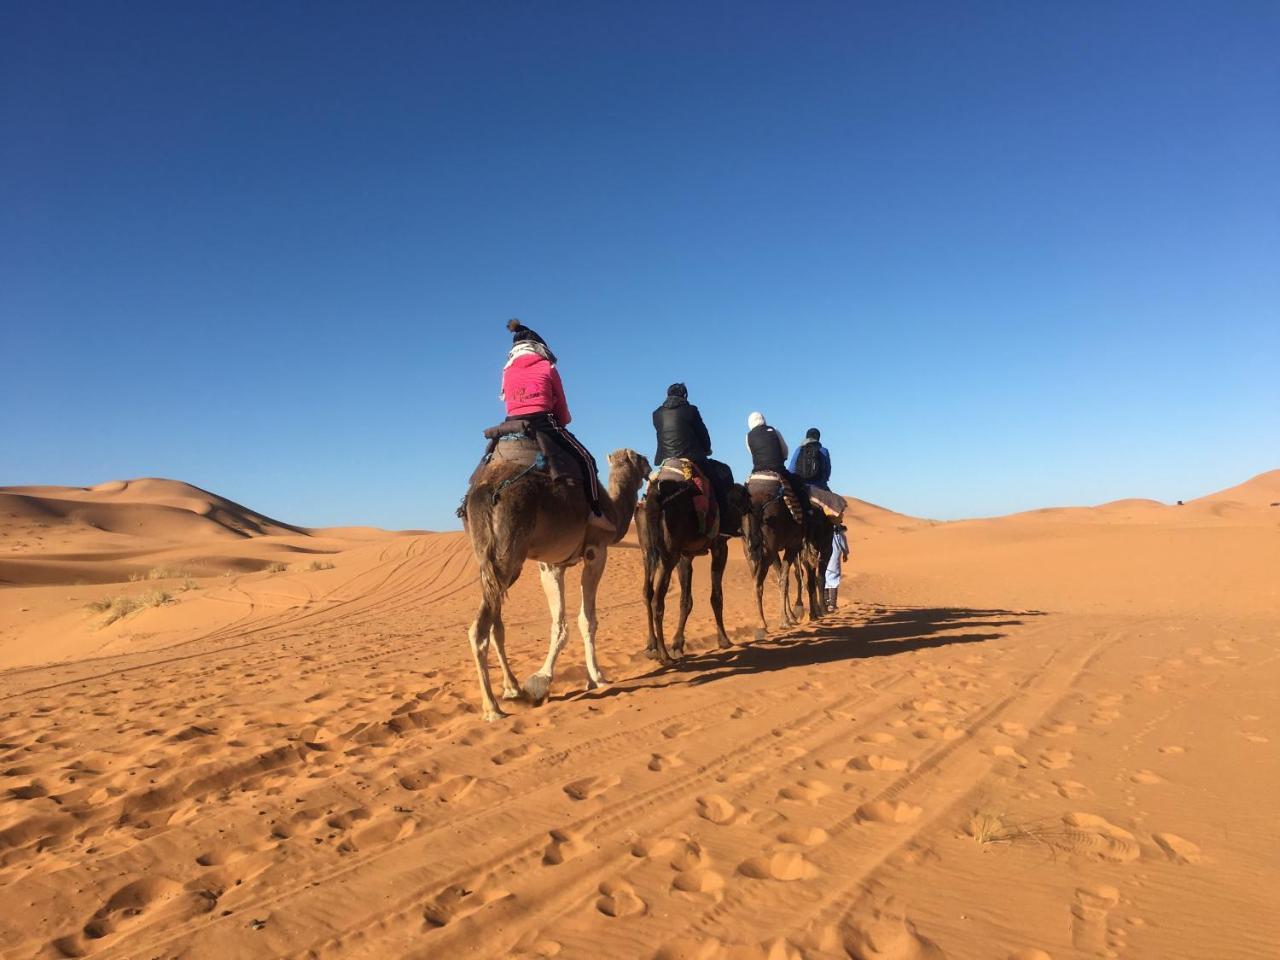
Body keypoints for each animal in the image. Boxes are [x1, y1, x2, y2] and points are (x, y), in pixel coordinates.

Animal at [460, 442, 650, 721]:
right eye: (639, 458)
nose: (649, 467)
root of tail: (484, 492)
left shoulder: (552, 565)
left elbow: (559, 622)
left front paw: (545, 680)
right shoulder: (596, 550)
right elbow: (587, 620)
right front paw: (596, 678)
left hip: (494, 562)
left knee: (496, 624)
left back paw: (513, 689)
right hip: (509, 553)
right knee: (479, 629)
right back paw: (492, 708)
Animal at [637, 468, 747, 670]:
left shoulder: (685, 556)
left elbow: (686, 600)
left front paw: (677, 644)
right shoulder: (720, 547)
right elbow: (716, 597)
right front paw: (724, 640)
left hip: (648, 551)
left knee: (647, 592)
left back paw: (651, 647)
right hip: (668, 554)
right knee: (657, 600)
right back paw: (664, 656)